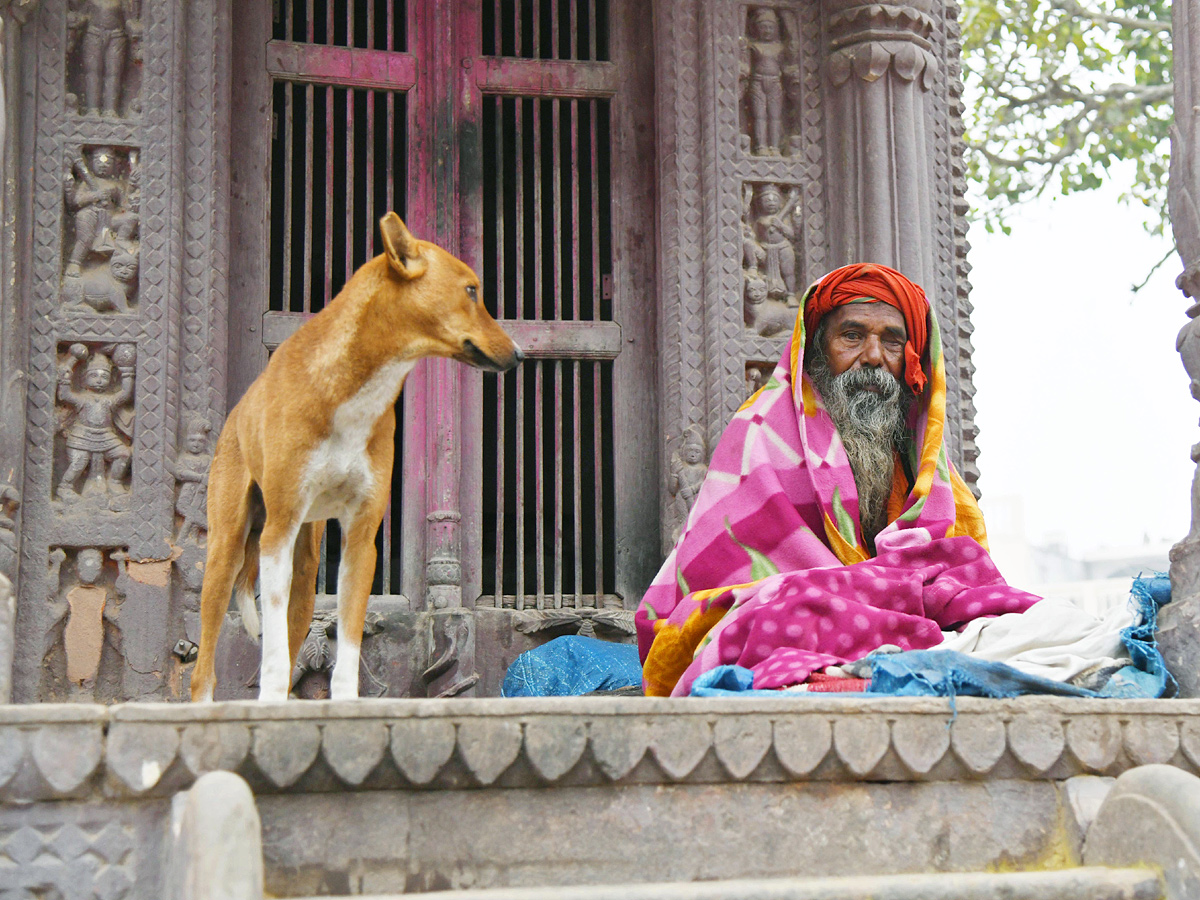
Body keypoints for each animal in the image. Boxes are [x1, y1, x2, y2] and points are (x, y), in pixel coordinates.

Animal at [192, 213, 520, 705]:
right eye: (470, 290)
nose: (519, 354)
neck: (353, 390)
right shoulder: (277, 533)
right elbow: (272, 650)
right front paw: (268, 700)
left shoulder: (361, 539)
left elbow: (347, 641)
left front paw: (345, 702)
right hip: (227, 552)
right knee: (206, 668)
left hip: (306, 573)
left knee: (293, 633)